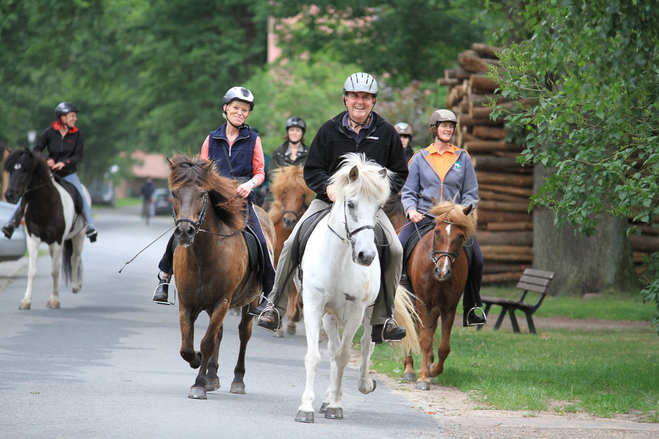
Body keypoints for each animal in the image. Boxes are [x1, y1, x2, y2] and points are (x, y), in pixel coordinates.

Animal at [2, 150, 89, 312]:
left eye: (24, 170)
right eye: (11, 170)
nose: (9, 195)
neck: (44, 206)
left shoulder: (57, 242)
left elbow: (55, 270)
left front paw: (54, 301)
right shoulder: (33, 240)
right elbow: (32, 271)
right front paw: (26, 301)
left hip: (78, 236)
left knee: (74, 258)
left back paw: (75, 287)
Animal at [266, 165, 316, 336]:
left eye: (303, 195)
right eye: (285, 192)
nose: (289, 220)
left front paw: (294, 318)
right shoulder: (277, 262)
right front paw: (278, 324)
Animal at [294, 154, 418, 422]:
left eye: (378, 207)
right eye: (350, 204)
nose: (366, 256)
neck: (340, 260)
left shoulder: (355, 311)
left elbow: (343, 357)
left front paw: (336, 405)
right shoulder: (314, 305)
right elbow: (315, 356)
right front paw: (307, 407)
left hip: (372, 311)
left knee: (366, 345)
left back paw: (363, 384)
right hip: (329, 314)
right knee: (332, 348)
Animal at [400, 201, 476, 390]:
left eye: (460, 236)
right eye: (437, 232)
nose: (443, 271)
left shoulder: (449, 307)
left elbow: (444, 347)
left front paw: (432, 370)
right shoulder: (423, 303)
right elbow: (424, 340)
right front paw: (423, 378)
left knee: (430, 329)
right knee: (411, 328)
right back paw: (409, 370)